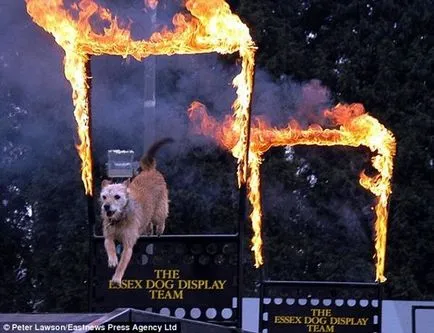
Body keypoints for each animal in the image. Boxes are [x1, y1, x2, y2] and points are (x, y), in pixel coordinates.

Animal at [99, 136, 172, 284]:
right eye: (104, 197)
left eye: (117, 197)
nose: (106, 206)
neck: (120, 219)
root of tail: (150, 170)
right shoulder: (108, 235)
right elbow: (109, 246)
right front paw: (112, 259)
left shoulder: (128, 246)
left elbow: (122, 264)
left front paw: (117, 278)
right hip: (147, 216)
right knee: (148, 222)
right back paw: (149, 230)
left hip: (159, 210)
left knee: (161, 219)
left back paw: (159, 229)